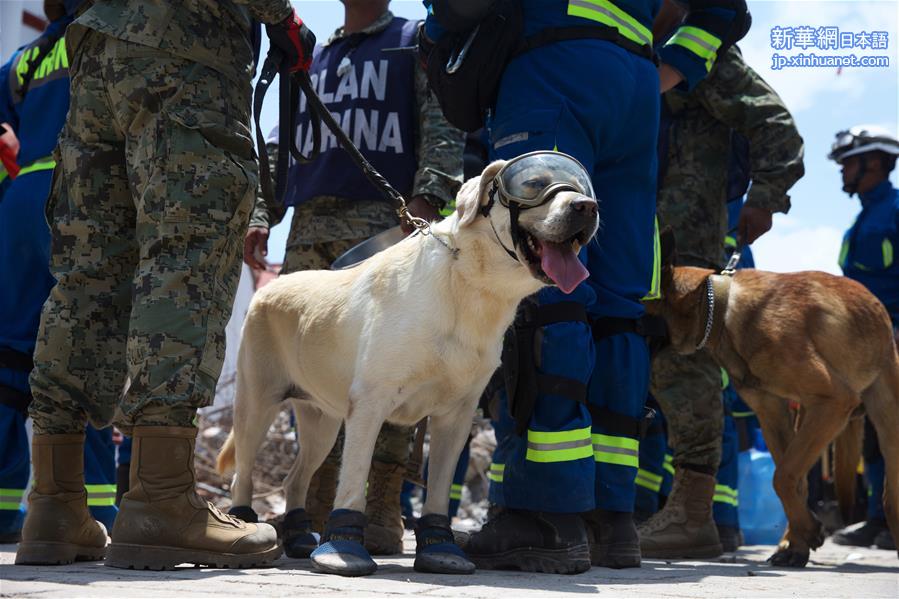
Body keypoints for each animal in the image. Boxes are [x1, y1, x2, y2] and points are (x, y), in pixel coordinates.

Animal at [216, 158, 596, 576]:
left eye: (582, 186)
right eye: (533, 184)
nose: (587, 207)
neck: (470, 287)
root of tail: (269, 287)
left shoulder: (456, 416)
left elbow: (440, 489)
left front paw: (440, 547)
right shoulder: (369, 404)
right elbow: (354, 480)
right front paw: (343, 547)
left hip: (321, 422)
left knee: (294, 478)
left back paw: (300, 535)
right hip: (257, 404)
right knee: (243, 473)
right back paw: (246, 523)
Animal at [648, 233, 899, 568]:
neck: (720, 308)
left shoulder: (834, 401)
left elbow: (782, 477)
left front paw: (808, 532)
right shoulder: (773, 413)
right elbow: (790, 478)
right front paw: (801, 539)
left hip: (883, 416)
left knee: (889, 493)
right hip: (809, 416)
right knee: (803, 478)